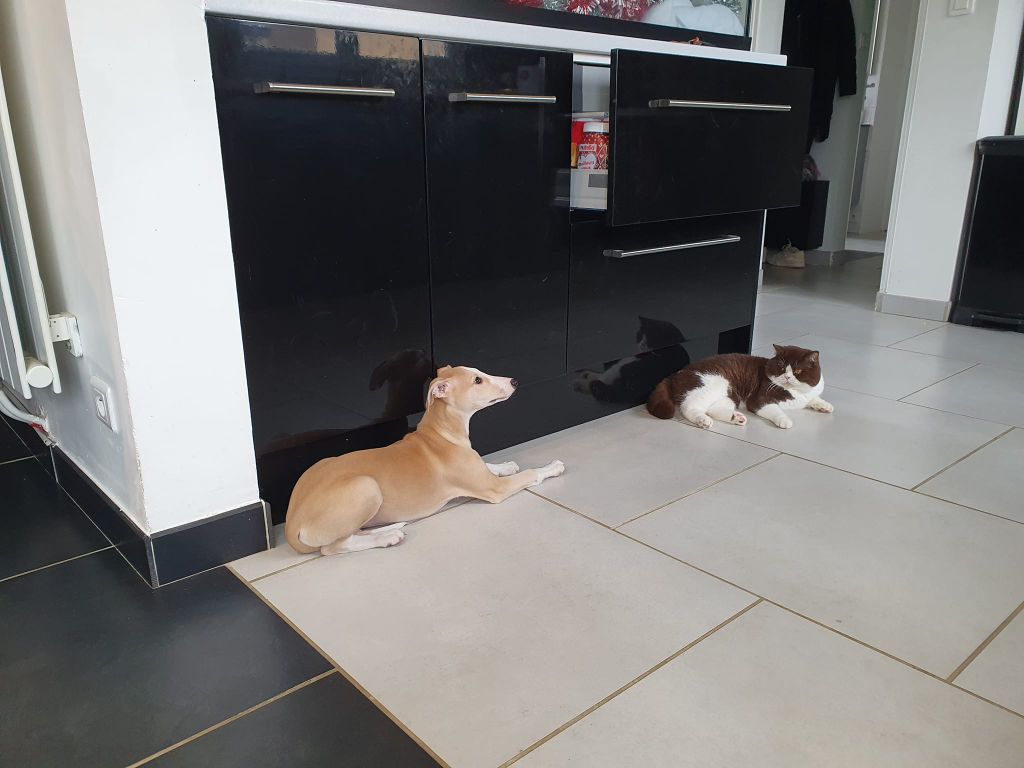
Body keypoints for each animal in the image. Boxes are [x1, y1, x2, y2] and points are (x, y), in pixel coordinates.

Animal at [285, 366, 566, 555]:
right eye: (477, 380)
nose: (515, 381)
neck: (440, 433)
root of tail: (291, 524)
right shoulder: (493, 489)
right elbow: (530, 474)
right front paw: (552, 467)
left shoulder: (480, 472)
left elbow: (488, 464)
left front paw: (506, 465)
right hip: (366, 487)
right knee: (333, 547)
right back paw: (386, 538)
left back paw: (387, 529)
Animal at [646, 344, 834, 429]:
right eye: (781, 368)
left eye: (797, 371)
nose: (787, 376)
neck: (796, 392)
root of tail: (674, 375)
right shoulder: (759, 399)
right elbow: (775, 409)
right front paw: (785, 420)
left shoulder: (809, 393)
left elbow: (813, 398)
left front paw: (825, 406)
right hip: (714, 384)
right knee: (689, 407)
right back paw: (703, 421)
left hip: (729, 396)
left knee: (713, 409)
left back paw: (736, 418)